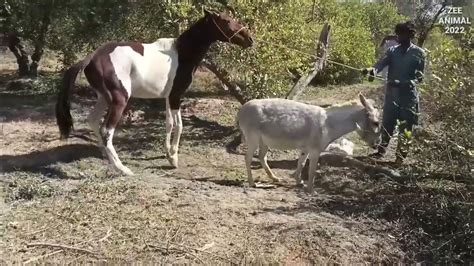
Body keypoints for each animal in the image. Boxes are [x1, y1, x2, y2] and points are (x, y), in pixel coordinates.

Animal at [55, 9, 252, 175]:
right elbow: (179, 125)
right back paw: (122, 169)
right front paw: (174, 158)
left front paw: (169, 154)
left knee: (93, 121)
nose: (249, 39)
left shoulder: (167, 97)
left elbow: (169, 124)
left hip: (103, 97)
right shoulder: (176, 96)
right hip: (119, 100)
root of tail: (91, 58)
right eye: (226, 20)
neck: (181, 54)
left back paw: (106, 155)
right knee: (106, 130)